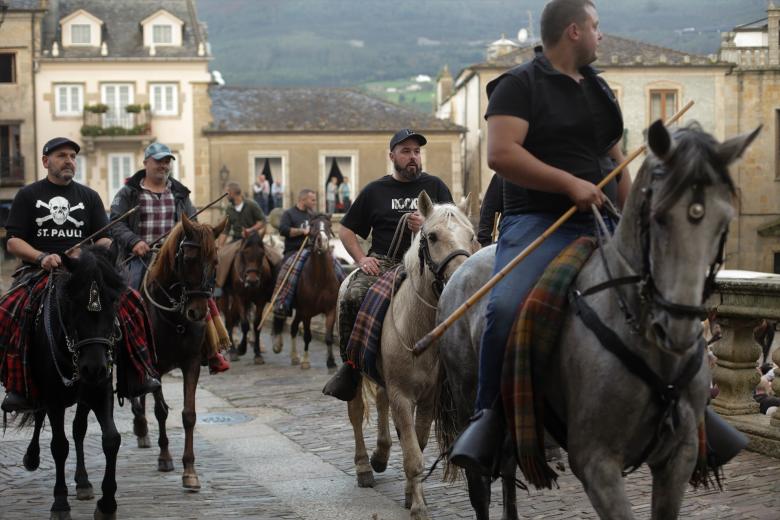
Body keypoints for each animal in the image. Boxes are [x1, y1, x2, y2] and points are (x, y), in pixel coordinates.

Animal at [17, 247, 125, 520]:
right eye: (73, 303)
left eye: (114, 301)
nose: (94, 368)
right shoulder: (53, 397)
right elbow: (59, 446)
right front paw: (60, 503)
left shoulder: (101, 390)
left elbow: (111, 439)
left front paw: (107, 504)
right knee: (41, 416)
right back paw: (32, 457)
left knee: (78, 428)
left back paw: (83, 481)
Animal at [131, 213, 225, 490]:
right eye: (190, 260)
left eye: (216, 261)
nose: (197, 312)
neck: (175, 315)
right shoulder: (154, 364)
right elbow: (161, 411)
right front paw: (165, 457)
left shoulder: (191, 362)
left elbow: (189, 415)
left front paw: (190, 470)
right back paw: (140, 426)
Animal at [219, 234, 278, 364]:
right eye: (244, 253)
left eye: (262, 253)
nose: (252, 280)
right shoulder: (240, 298)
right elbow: (245, 324)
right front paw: (241, 349)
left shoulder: (260, 300)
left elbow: (256, 324)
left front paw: (258, 354)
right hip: (226, 297)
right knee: (229, 319)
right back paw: (232, 350)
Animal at [272, 213, 338, 368]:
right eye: (312, 225)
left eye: (329, 225)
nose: (322, 241)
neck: (320, 280)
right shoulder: (307, 312)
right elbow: (307, 335)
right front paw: (306, 361)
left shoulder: (330, 309)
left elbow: (328, 337)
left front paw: (331, 361)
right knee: (283, 319)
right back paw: (283, 348)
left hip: (300, 311)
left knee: (294, 327)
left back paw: (294, 356)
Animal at [438, 120, 760, 516]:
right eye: (659, 216)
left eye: (723, 221)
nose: (679, 327)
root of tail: (459, 272)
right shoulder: (597, 462)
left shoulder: (678, 458)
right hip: (466, 396)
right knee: (480, 486)